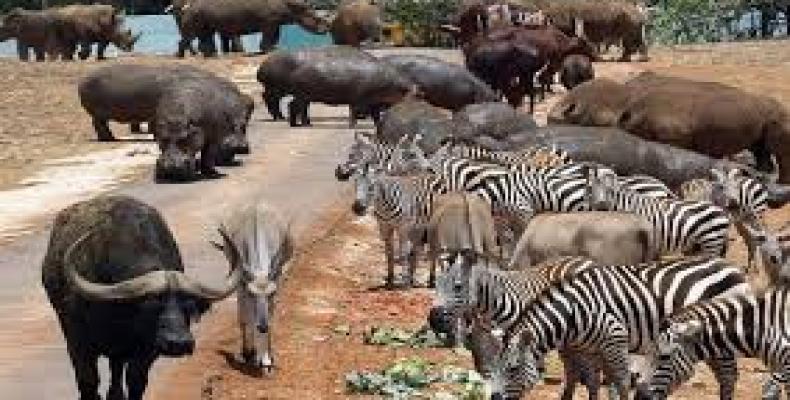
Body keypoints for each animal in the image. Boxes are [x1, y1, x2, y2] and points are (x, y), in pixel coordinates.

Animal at [482, 256, 756, 400]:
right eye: (492, 368)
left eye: (513, 368)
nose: (494, 398)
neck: (573, 313)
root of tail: (732, 268)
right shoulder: (586, 349)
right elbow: (591, 381)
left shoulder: (615, 339)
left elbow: (622, 382)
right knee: (725, 376)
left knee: (729, 377)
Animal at [588, 170, 736, 258]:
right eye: (591, 188)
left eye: (609, 190)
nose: (601, 206)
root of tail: (721, 211)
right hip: (699, 245)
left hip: (712, 242)